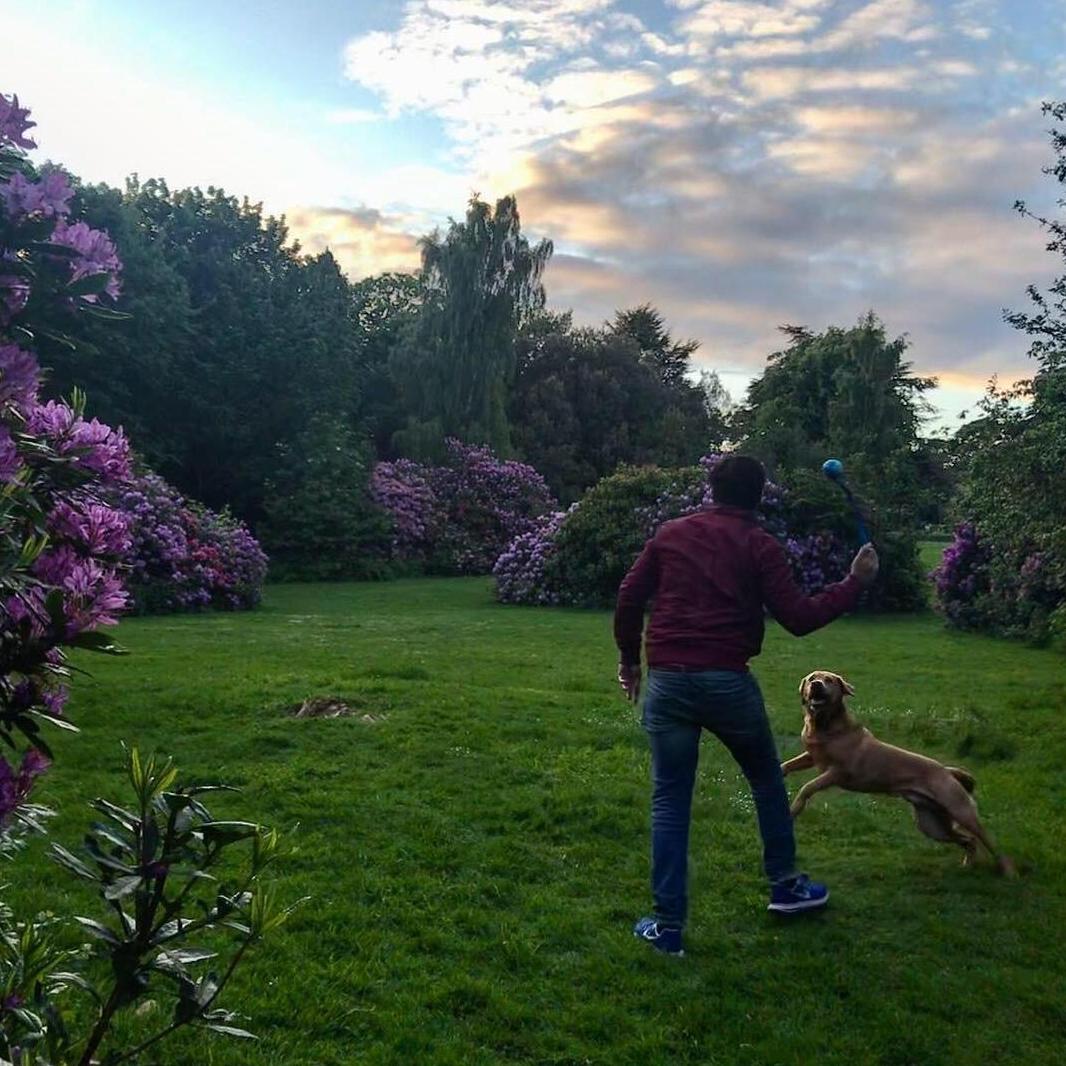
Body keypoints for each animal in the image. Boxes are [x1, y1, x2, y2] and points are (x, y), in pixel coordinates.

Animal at [784, 669, 1014, 878]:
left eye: (829, 679)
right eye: (812, 678)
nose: (817, 685)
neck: (825, 725)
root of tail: (946, 770)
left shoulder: (837, 772)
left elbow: (807, 787)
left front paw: (795, 807)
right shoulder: (811, 757)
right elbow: (787, 765)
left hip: (962, 811)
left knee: (989, 842)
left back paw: (1008, 872)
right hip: (933, 825)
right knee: (969, 840)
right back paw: (968, 865)